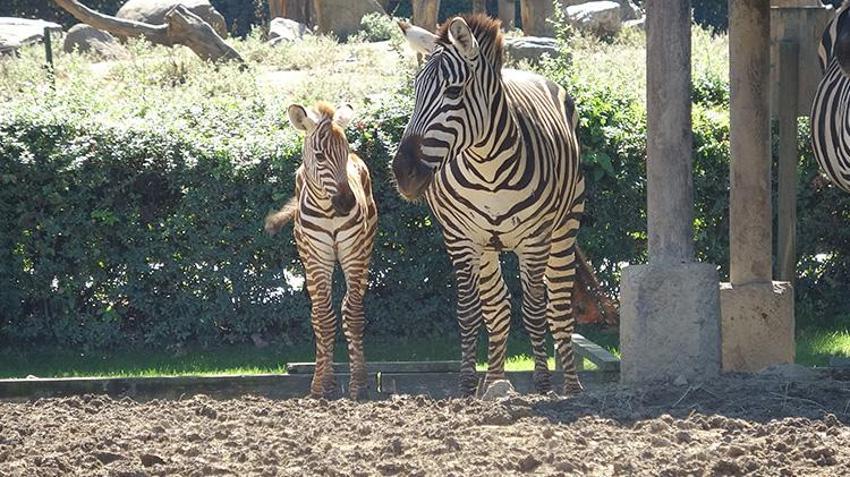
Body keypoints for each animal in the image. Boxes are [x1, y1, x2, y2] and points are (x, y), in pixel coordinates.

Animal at [265, 102, 378, 400]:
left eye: (346, 150)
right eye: (319, 155)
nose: (347, 203)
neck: (328, 209)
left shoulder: (353, 253)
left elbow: (353, 314)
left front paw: (359, 384)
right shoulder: (317, 258)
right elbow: (325, 319)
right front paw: (322, 386)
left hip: (365, 250)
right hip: (307, 259)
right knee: (317, 314)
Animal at [394, 15, 585, 396]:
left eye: (453, 92)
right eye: (415, 90)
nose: (402, 173)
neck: (488, 168)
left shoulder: (534, 241)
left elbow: (535, 310)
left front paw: (543, 384)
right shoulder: (460, 239)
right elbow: (469, 312)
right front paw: (467, 386)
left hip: (565, 229)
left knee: (557, 307)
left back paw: (571, 388)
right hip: (486, 248)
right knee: (497, 307)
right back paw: (495, 382)